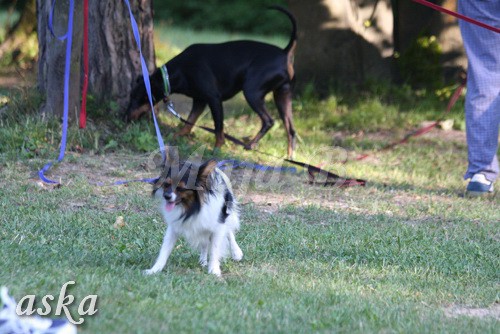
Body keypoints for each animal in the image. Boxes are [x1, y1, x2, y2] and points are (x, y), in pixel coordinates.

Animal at [126, 6, 296, 158]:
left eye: (138, 97)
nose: (125, 117)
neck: (176, 72)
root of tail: (284, 53)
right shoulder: (199, 101)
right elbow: (189, 122)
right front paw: (176, 136)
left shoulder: (214, 99)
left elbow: (218, 128)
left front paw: (217, 148)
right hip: (282, 96)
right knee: (291, 130)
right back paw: (289, 157)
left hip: (252, 92)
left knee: (269, 121)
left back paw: (250, 145)